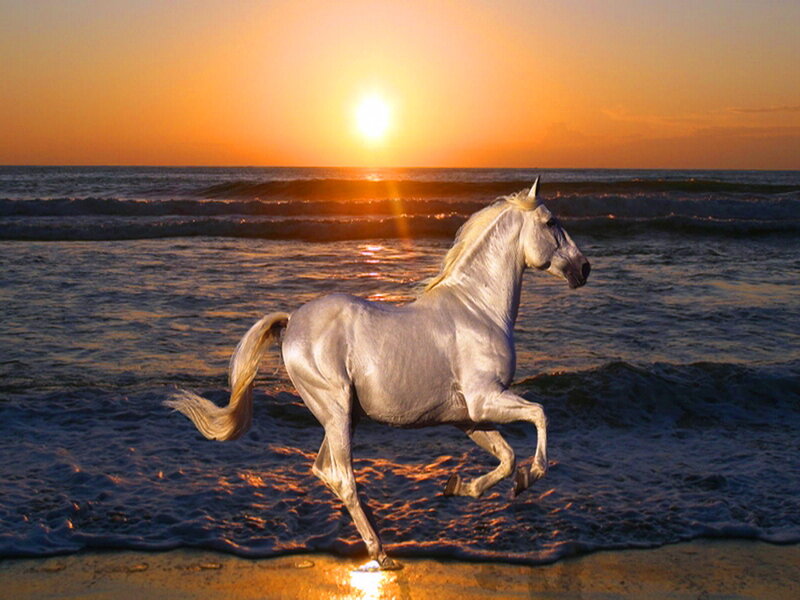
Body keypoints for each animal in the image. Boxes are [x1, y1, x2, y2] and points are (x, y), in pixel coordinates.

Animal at [165, 178, 590, 570]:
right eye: (551, 222)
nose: (584, 268)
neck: (477, 310)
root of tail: (292, 321)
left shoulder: (468, 418)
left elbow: (506, 458)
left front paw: (458, 486)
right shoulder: (485, 399)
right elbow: (538, 417)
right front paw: (529, 478)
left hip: (342, 416)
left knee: (325, 471)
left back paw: (378, 536)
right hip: (336, 410)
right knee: (342, 477)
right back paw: (380, 551)